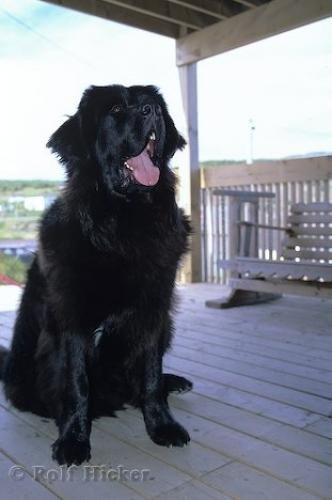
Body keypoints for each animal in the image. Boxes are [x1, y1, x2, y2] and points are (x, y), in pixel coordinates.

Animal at [0, 85, 192, 464]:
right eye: (116, 109)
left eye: (155, 104)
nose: (151, 111)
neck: (123, 224)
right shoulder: (73, 318)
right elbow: (77, 383)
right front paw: (74, 438)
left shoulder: (154, 312)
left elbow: (150, 375)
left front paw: (161, 425)